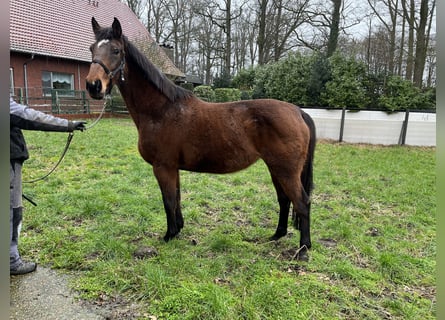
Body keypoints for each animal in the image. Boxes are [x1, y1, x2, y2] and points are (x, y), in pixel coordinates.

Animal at [86, 17, 316, 258]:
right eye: (92, 48)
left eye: (116, 50)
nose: (93, 85)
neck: (162, 110)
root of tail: (298, 111)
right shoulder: (173, 168)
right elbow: (177, 198)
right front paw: (178, 229)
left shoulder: (163, 166)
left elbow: (168, 200)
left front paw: (169, 235)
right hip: (276, 168)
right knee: (284, 199)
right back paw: (277, 235)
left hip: (286, 170)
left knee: (302, 202)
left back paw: (303, 249)